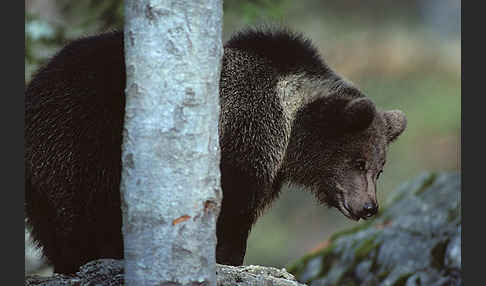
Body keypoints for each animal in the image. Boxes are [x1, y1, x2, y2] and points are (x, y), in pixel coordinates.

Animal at [25, 26, 406, 272]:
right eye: (357, 161)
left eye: (379, 168)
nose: (369, 206)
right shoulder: (245, 132)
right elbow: (232, 206)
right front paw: (227, 257)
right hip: (85, 138)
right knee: (80, 211)